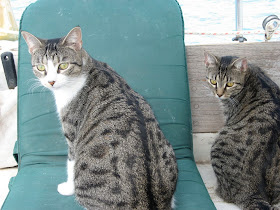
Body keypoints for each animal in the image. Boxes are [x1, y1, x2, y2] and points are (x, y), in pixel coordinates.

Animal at [21, 26, 177, 210]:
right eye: (40, 67)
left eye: (63, 65)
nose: (51, 82)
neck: (88, 68)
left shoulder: (72, 134)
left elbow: (70, 163)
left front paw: (67, 188)